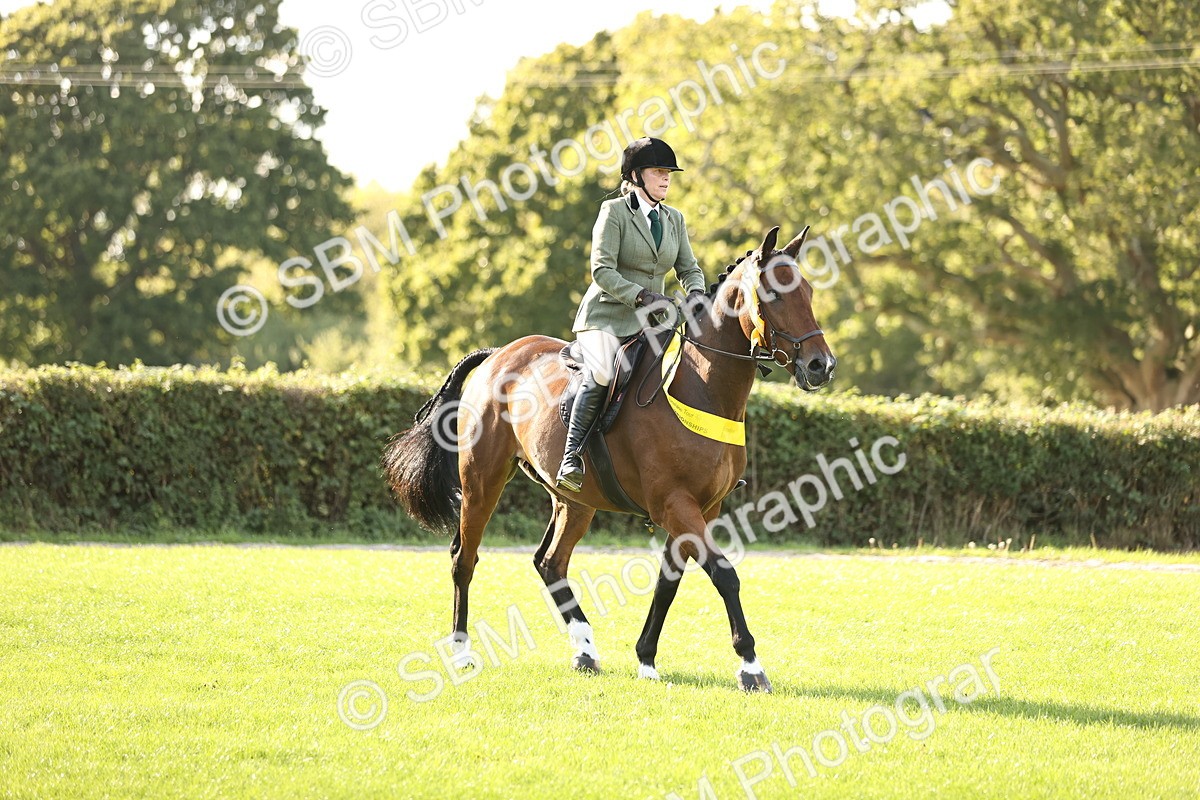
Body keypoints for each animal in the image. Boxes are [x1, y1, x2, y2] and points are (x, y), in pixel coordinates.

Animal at [383, 226, 836, 692]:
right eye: (774, 295)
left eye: (808, 291)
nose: (821, 366)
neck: (702, 387)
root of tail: (498, 354)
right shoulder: (675, 504)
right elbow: (724, 573)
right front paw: (750, 666)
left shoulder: (703, 508)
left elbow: (668, 582)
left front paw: (646, 659)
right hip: (481, 482)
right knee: (464, 558)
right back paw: (462, 653)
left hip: (574, 500)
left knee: (550, 562)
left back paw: (585, 649)